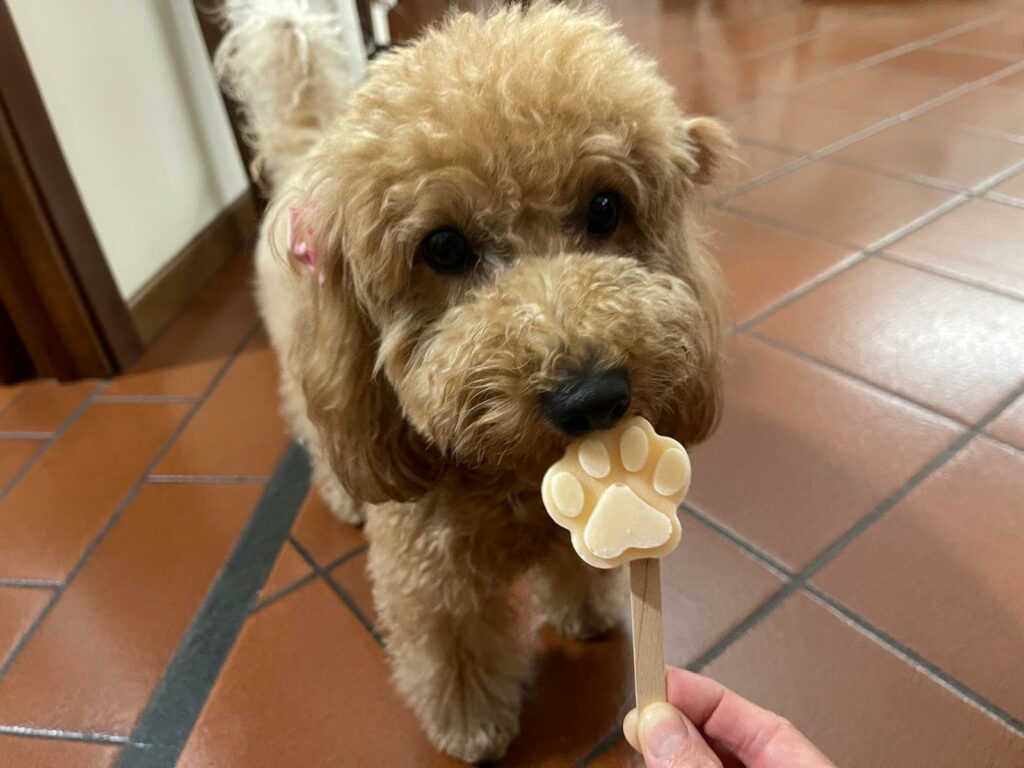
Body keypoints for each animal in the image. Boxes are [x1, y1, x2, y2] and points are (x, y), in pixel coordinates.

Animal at [216, 1, 733, 765]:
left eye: (606, 208)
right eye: (443, 246)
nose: (592, 397)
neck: (512, 475)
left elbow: (577, 564)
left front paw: (587, 612)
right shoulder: (429, 582)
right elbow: (451, 651)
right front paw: (472, 728)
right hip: (306, 368)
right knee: (315, 429)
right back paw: (342, 494)